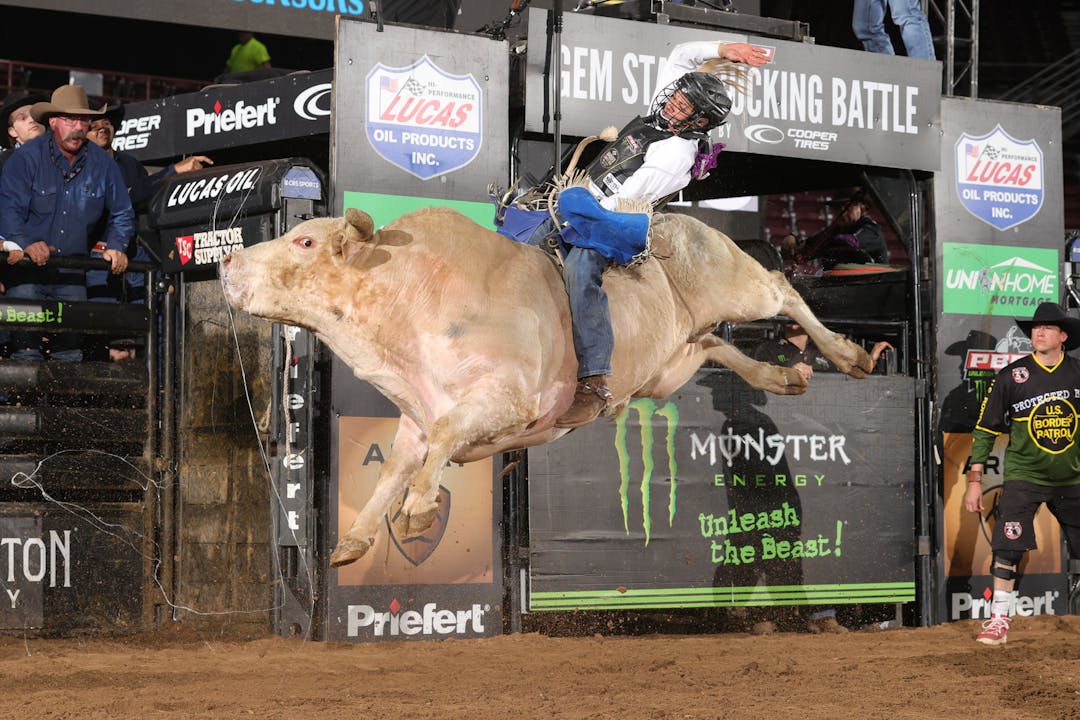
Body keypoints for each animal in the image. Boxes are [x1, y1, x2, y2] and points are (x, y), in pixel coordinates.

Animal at [219, 205, 868, 565]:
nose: (226, 262)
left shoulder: (508, 400)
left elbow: (446, 438)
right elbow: (396, 467)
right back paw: (782, 375)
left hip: (736, 284)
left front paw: (419, 512)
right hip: (669, 364)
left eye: (305, 241)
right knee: (714, 344)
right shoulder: (414, 420)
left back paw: (850, 354)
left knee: (782, 287)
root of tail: (674, 218)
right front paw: (355, 540)